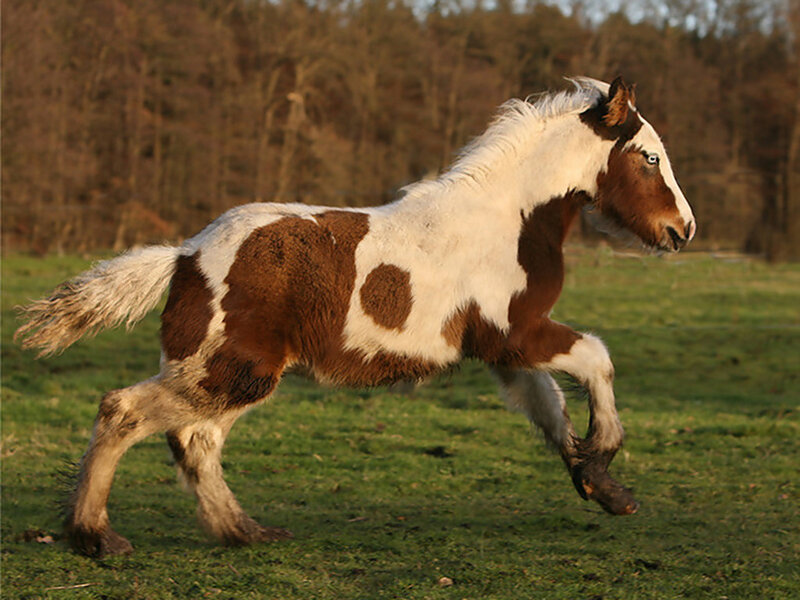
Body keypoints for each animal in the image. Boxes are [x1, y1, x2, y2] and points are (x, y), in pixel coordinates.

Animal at [15, 77, 696, 558]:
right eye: (649, 158)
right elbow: (597, 359)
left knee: (194, 440)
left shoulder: (505, 351)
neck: (508, 222)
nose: (682, 230)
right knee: (126, 411)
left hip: (227, 374)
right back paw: (96, 537)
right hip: (231, 371)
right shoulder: (519, 334)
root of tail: (184, 255)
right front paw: (604, 455)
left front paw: (602, 487)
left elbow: (552, 412)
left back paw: (244, 532)